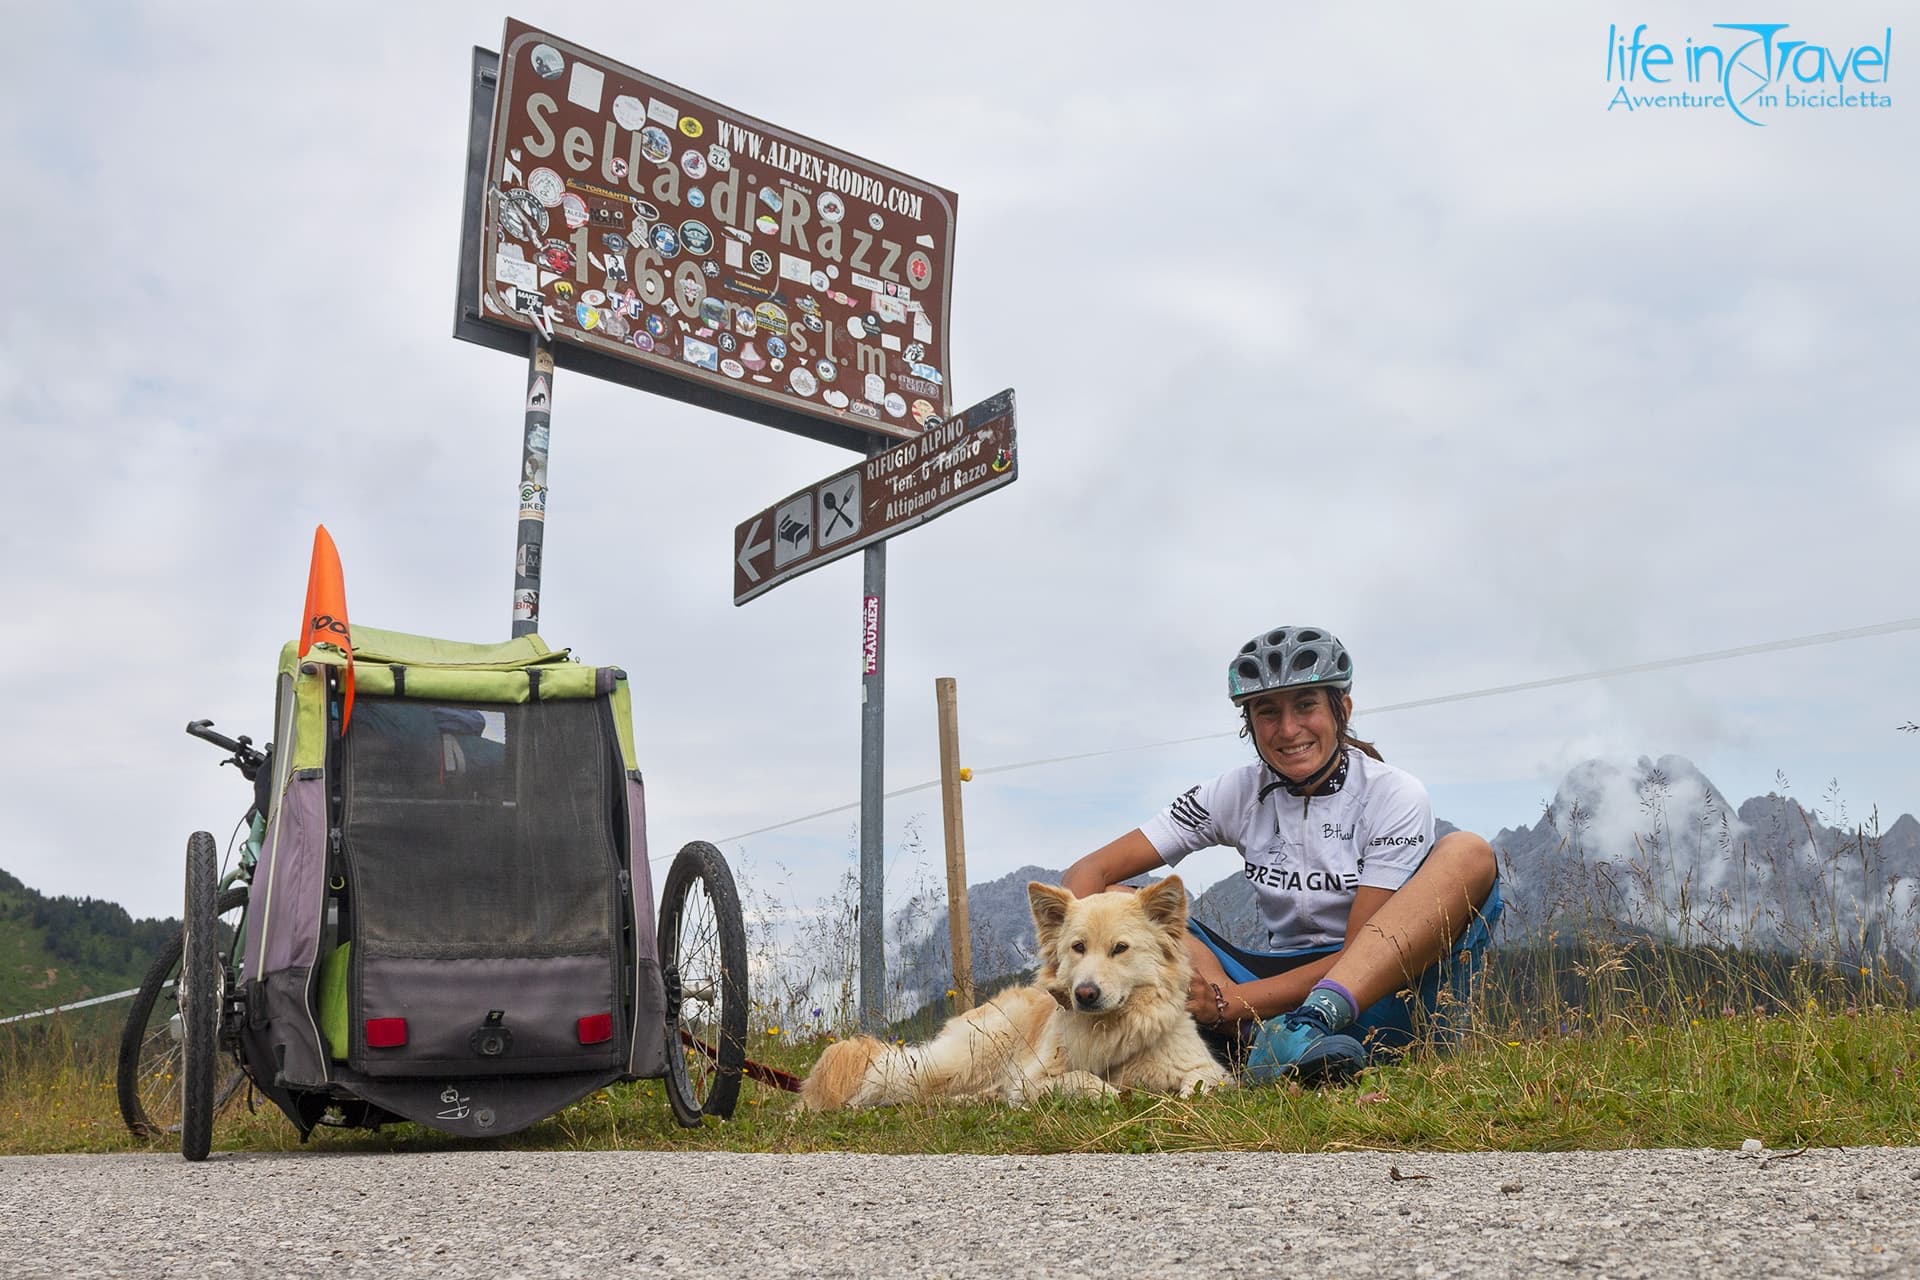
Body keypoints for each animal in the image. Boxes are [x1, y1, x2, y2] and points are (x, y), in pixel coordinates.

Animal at [798, 882, 1228, 1113]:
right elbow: (1078, 1079)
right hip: (961, 1061)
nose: (1085, 994)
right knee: (884, 1074)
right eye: (1077, 947)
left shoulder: (1206, 1069)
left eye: (1120, 949)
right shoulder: (1032, 1078)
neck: (1113, 1031)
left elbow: (1204, 1083)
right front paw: (1107, 1091)